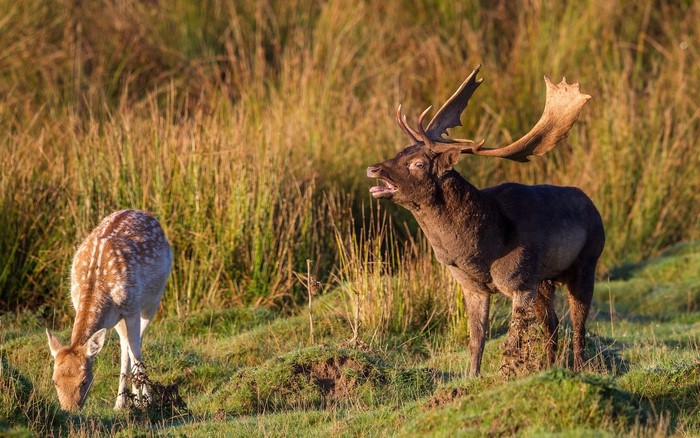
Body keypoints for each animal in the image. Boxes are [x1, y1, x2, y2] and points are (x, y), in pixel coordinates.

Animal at [46, 209, 172, 411]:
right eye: (54, 381)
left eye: (84, 381)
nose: (69, 411)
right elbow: (129, 349)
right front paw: (127, 401)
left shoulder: (132, 307)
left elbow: (136, 352)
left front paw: (145, 402)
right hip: (118, 319)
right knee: (125, 344)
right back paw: (121, 402)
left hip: (154, 299)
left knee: (135, 344)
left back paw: (140, 399)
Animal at [367, 65, 605, 377]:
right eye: (400, 151)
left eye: (417, 163)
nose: (374, 168)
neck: (482, 251)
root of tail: (594, 206)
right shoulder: (472, 286)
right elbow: (476, 338)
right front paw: (472, 376)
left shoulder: (520, 282)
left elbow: (513, 342)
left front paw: (506, 375)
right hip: (544, 280)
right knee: (552, 324)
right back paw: (549, 367)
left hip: (586, 262)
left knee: (578, 325)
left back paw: (578, 368)